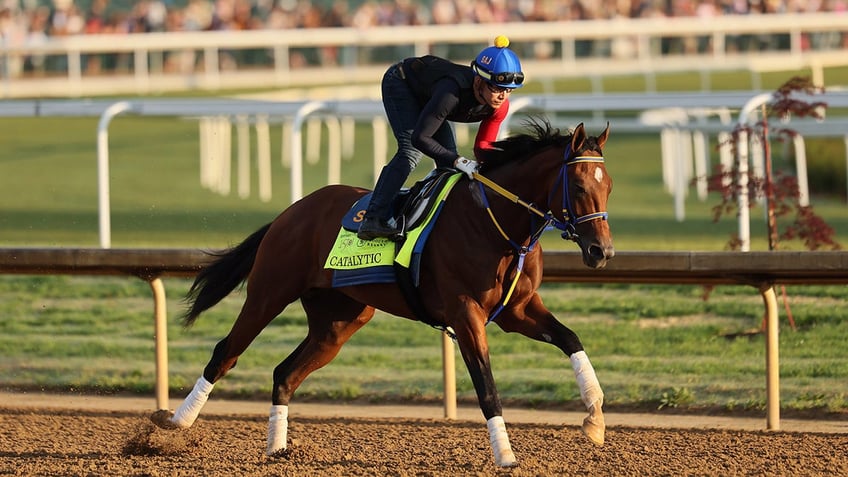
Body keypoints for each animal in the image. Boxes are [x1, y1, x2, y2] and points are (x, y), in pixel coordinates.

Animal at [152, 119, 612, 464]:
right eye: (578, 185)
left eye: (607, 186)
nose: (601, 251)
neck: (494, 222)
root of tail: (291, 212)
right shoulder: (466, 314)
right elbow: (486, 385)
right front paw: (506, 456)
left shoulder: (518, 310)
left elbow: (571, 338)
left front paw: (594, 418)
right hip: (269, 292)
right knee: (225, 353)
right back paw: (174, 425)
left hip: (337, 322)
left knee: (284, 373)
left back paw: (277, 449)